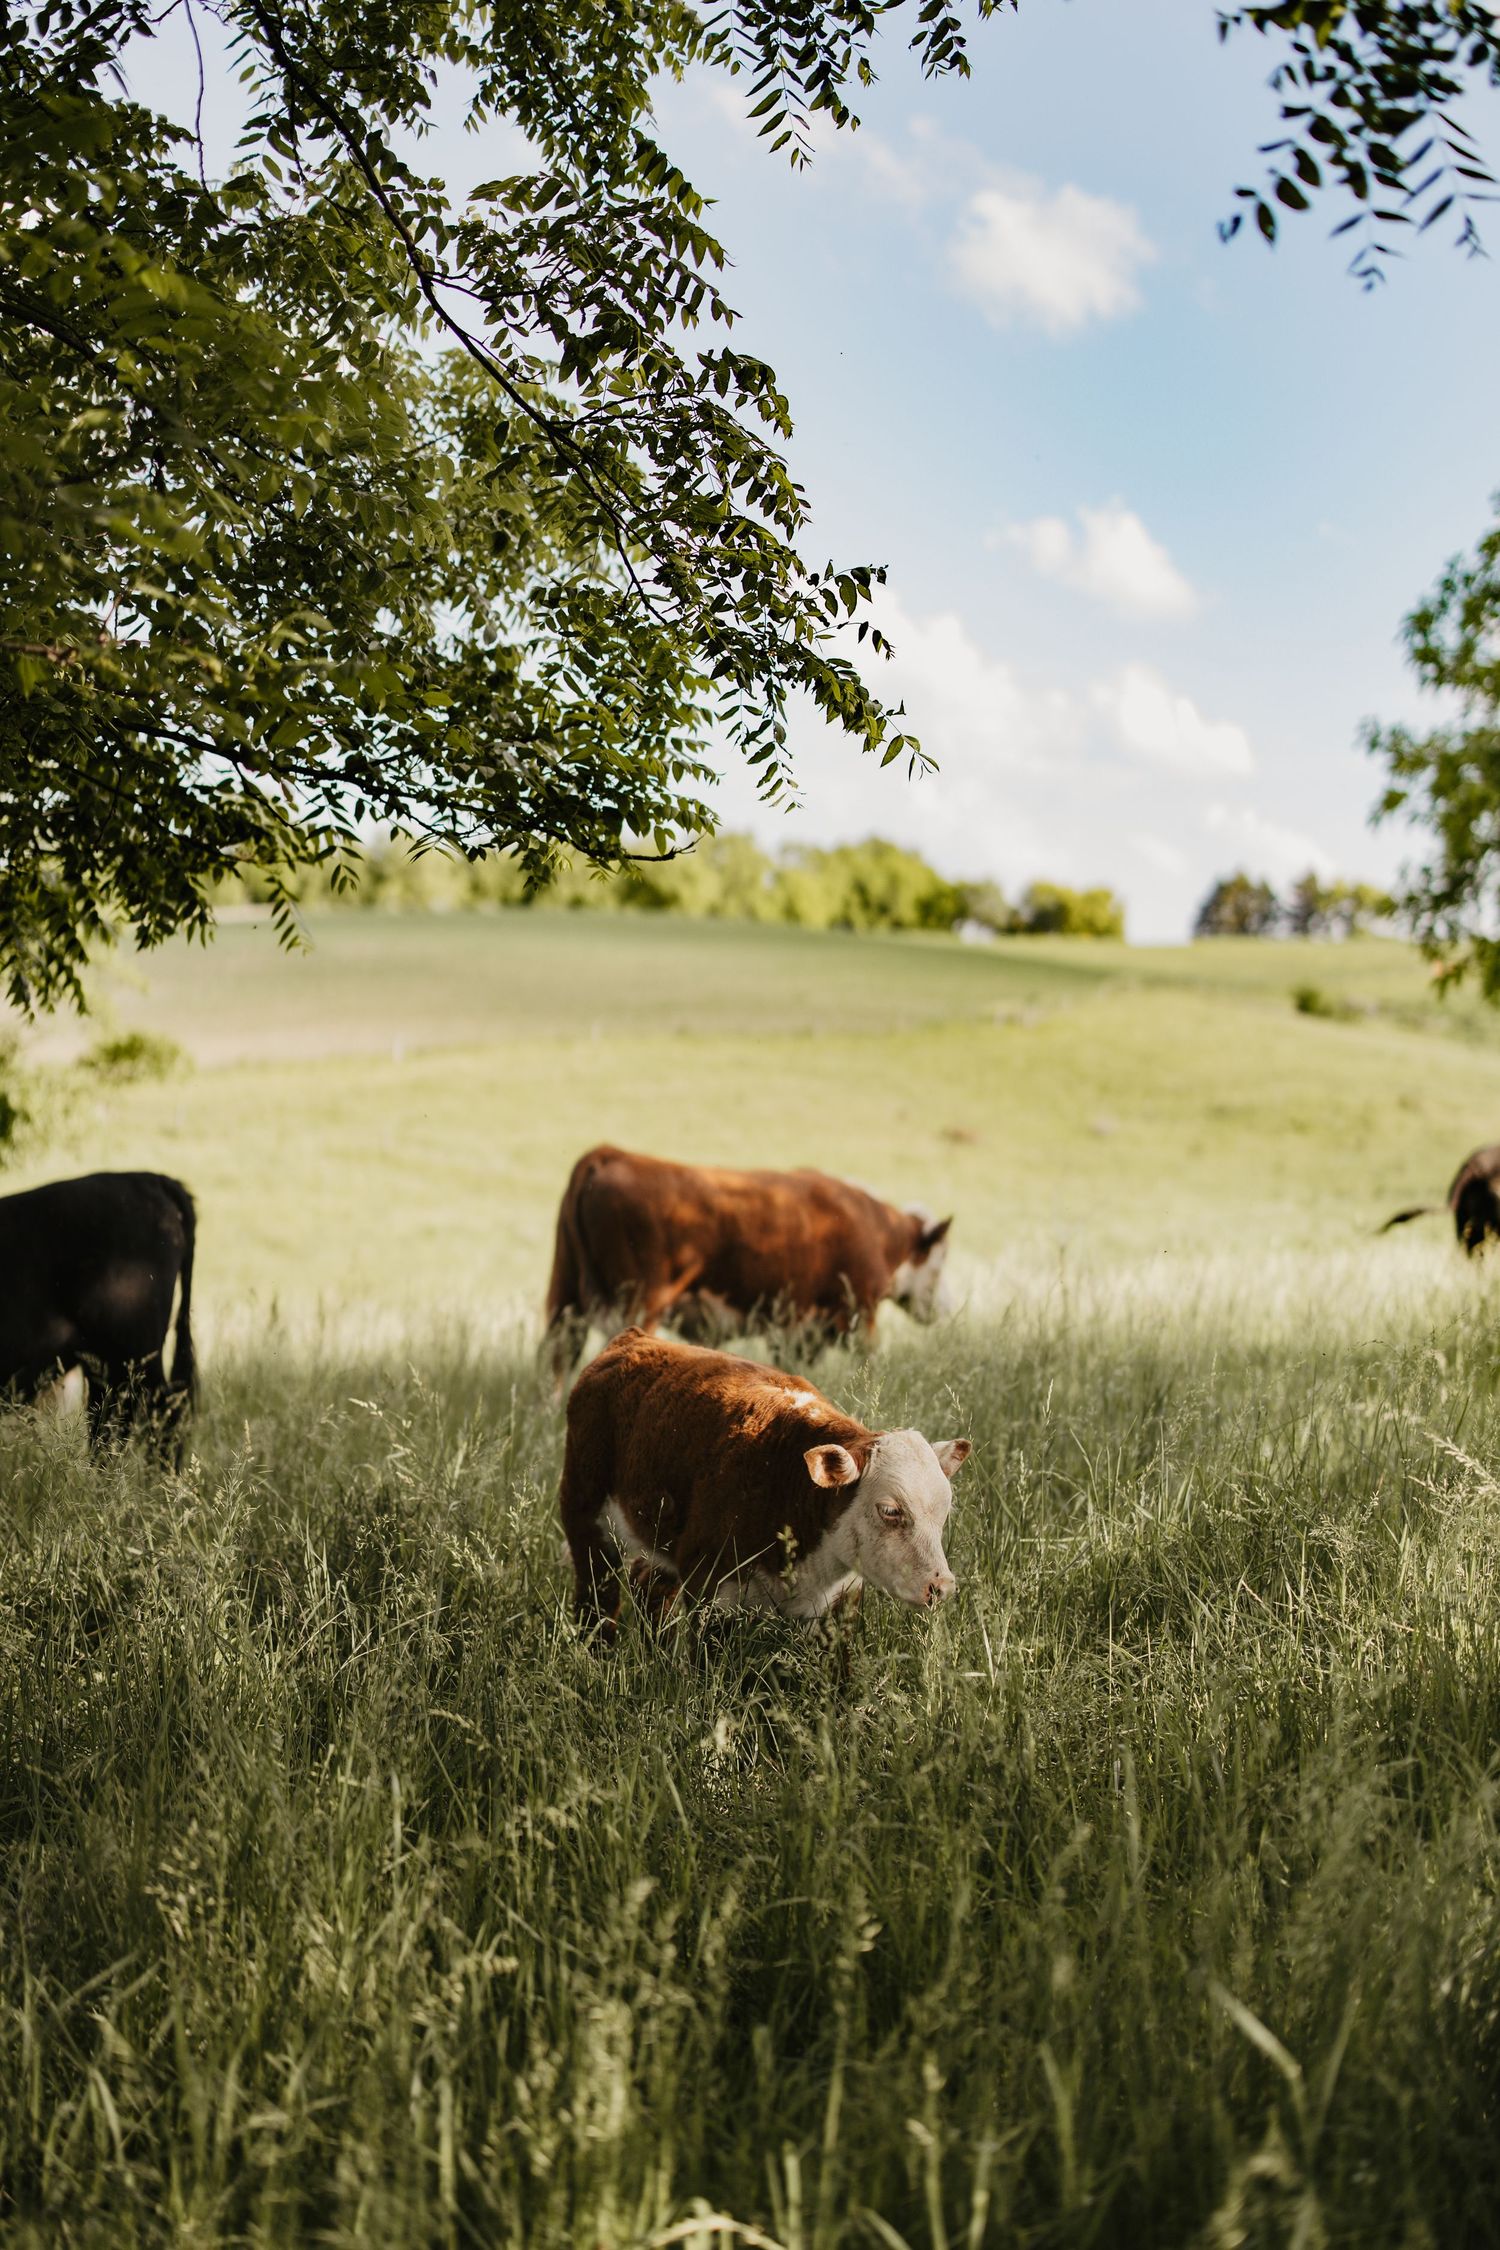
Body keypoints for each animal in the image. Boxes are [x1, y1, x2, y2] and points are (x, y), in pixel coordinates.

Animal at [543, 1144, 954, 1381]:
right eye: (939, 1264)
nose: (947, 1311)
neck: (876, 1229)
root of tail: (611, 1152)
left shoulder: (794, 1327)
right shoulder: (859, 1315)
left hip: (565, 1298)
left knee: (557, 1362)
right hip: (641, 1303)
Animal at [558, 1326, 971, 1642]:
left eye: (943, 1513)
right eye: (889, 1510)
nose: (942, 1586)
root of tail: (634, 1339)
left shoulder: (838, 1604)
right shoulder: (710, 1587)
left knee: (649, 1587)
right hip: (584, 1515)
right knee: (597, 1598)